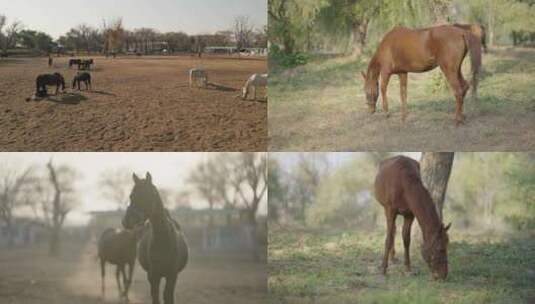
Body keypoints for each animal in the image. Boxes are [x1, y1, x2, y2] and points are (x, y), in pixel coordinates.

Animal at [122, 173, 189, 304]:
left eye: (146, 195)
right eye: (131, 196)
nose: (127, 221)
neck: (163, 239)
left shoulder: (172, 275)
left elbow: (168, 297)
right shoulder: (153, 276)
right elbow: (155, 297)